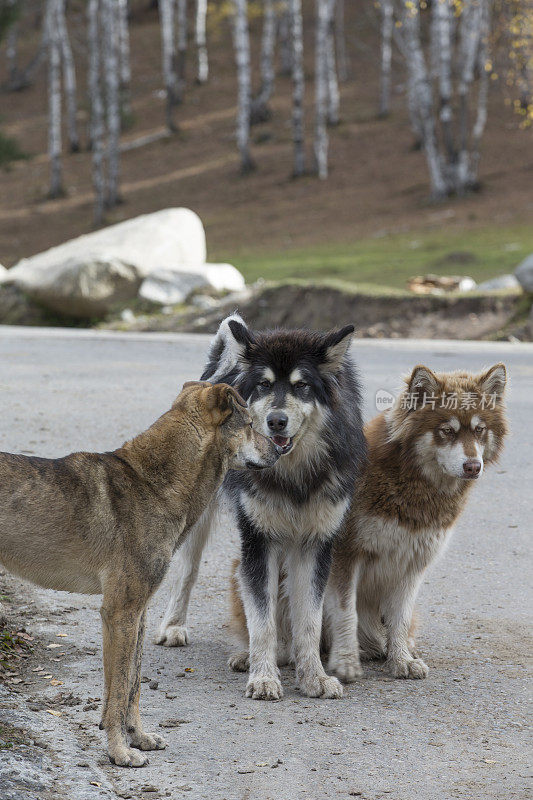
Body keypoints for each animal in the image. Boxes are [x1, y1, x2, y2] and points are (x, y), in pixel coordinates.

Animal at [0, 382, 280, 768]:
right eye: (250, 424)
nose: (282, 448)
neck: (152, 485)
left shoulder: (136, 614)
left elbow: (129, 688)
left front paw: (139, 739)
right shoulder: (121, 612)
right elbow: (119, 692)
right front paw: (120, 753)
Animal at [156, 312, 366, 700]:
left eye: (302, 386)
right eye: (265, 386)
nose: (276, 420)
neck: (293, 476)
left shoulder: (315, 544)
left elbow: (309, 621)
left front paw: (313, 677)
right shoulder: (258, 540)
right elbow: (261, 619)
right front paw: (264, 676)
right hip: (197, 517)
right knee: (186, 571)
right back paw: (175, 626)